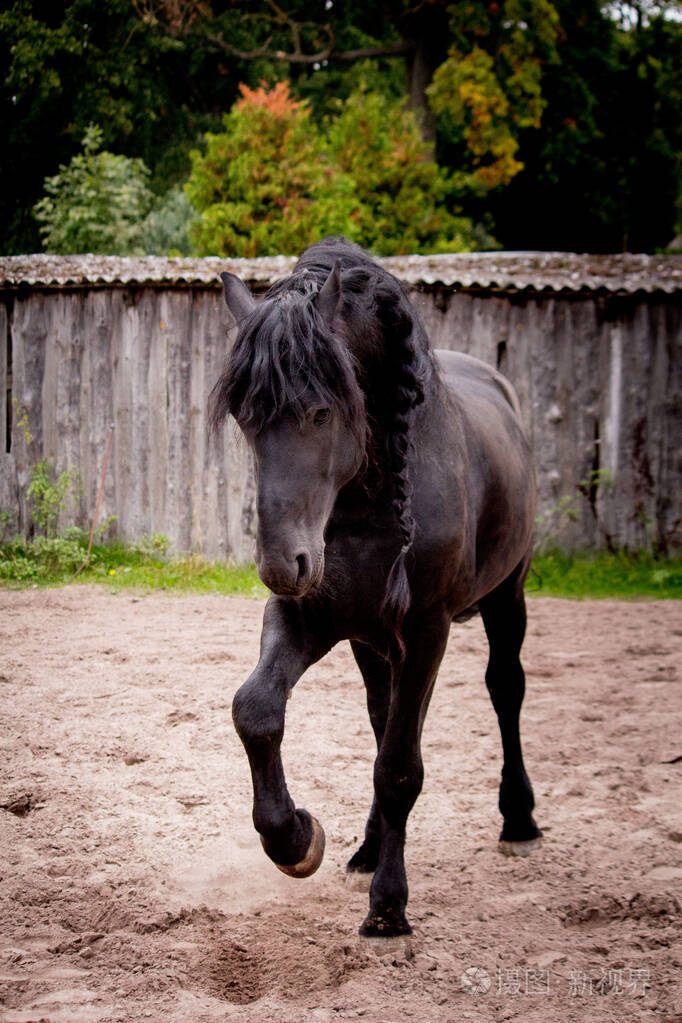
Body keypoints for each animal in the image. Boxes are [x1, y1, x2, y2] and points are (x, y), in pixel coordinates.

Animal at [210, 237, 542, 939]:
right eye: (246, 417)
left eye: (320, 411)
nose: (281, 564)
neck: (370, 503)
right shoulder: (312, 618)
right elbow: (256, 709)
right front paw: (295, 838)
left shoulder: (426, 631)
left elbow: (398, 768)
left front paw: (389, 908)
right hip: (371, 640)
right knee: (381, 716)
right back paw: (365, 848)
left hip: (507, 597)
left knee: (505, 690)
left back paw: (519, 819)